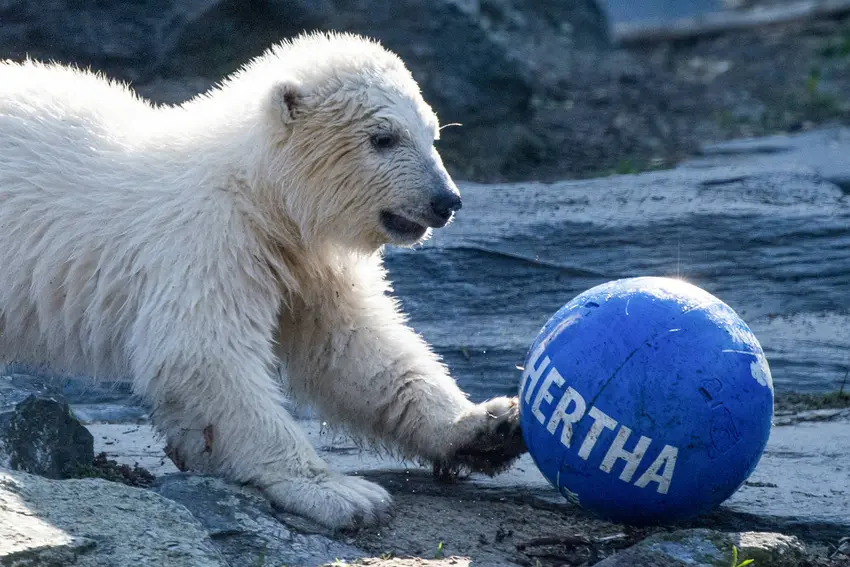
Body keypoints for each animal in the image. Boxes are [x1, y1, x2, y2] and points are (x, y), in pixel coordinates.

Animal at [0, 31, 526, 529]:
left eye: (432, 134)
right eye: (384, 138)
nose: (447, 200)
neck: (261, 193)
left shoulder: (309, 263)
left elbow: (354, 349)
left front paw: (491, 426)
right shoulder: (209, 240)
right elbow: (202, 356)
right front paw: (345, 494)